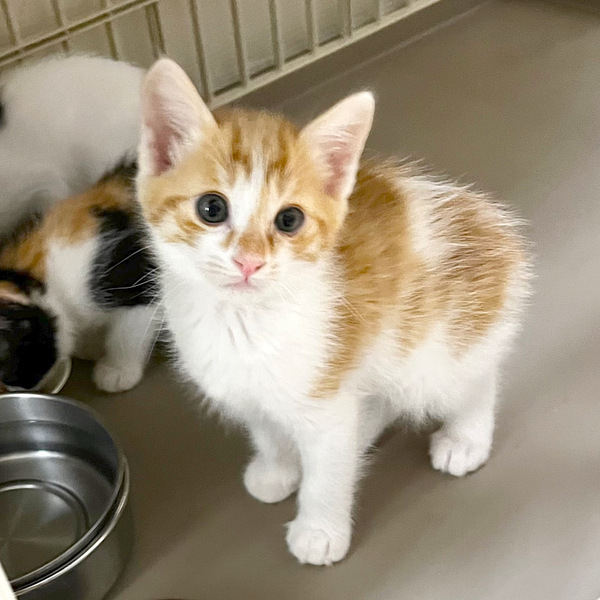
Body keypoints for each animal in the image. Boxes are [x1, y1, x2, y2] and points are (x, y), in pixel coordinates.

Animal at [136, 58, 531, 565]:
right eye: (211, 208)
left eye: (289, 220)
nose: (249, 261)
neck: (246, 320)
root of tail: (498, 231)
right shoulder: (255, 391)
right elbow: (267, 429)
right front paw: (277, 469)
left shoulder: (327, 392)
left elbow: (327, 471)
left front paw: (319, 530)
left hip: (433, 351)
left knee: (475, 380)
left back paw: (466, 438)